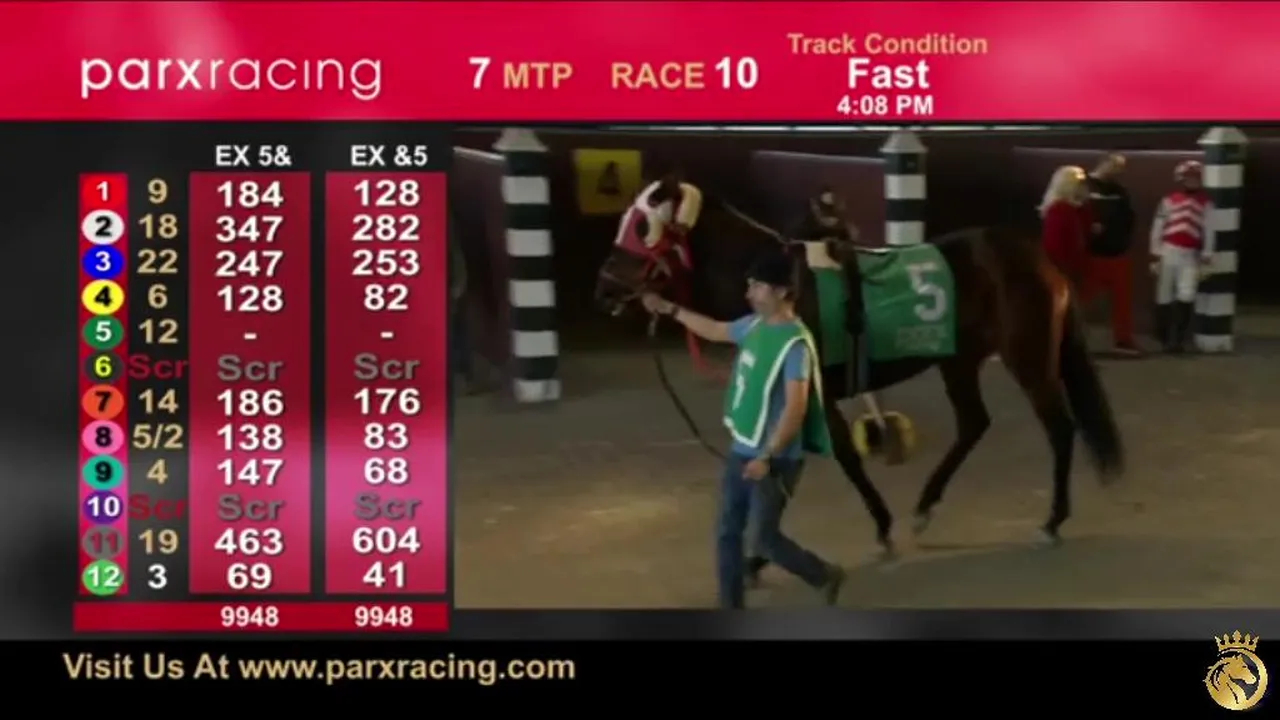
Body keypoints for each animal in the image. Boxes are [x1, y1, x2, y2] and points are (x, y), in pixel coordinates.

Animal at [594, 196, 1125, 551]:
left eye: (640, 226)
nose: (605, 287)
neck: (784, 285)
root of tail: (1037, 257)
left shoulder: (816, 389)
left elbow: (844, 456)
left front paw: (881, 528)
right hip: (957, 359)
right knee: (974, 422)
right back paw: (925, 508)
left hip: (1028, 358)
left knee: (1059, 427)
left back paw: (1052, 520)